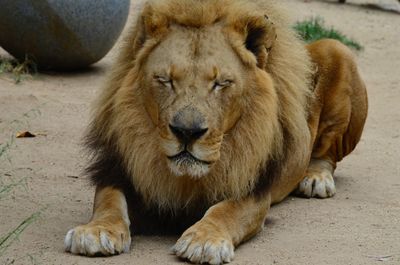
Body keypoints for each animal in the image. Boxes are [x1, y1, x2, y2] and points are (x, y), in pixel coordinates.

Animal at [64, 0, 368, 262]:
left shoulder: (252, 189)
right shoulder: (118, 169)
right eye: (165, 80)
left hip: (337, 51)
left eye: (221, 83)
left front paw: (203, 240)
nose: (187, 132)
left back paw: (316, 178)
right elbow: (108, 200)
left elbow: (226, 211)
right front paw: (97, 230)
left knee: (326, 154)